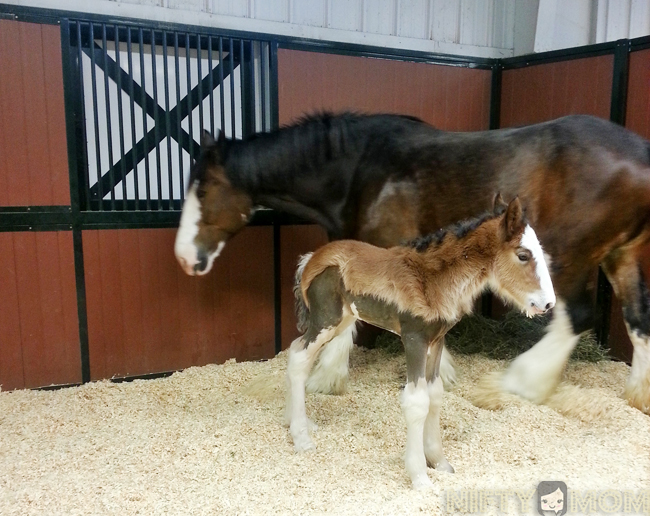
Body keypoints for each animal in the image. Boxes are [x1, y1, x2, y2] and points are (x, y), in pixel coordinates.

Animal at [173, 113, 648, 416]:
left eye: (205, 188)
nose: (183, 258)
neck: (360, 170)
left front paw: (329, 376)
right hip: (622, 256)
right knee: (638, 319)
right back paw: (638, 396)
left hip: (571, 257)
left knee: (577, 315)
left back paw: (516, 383)